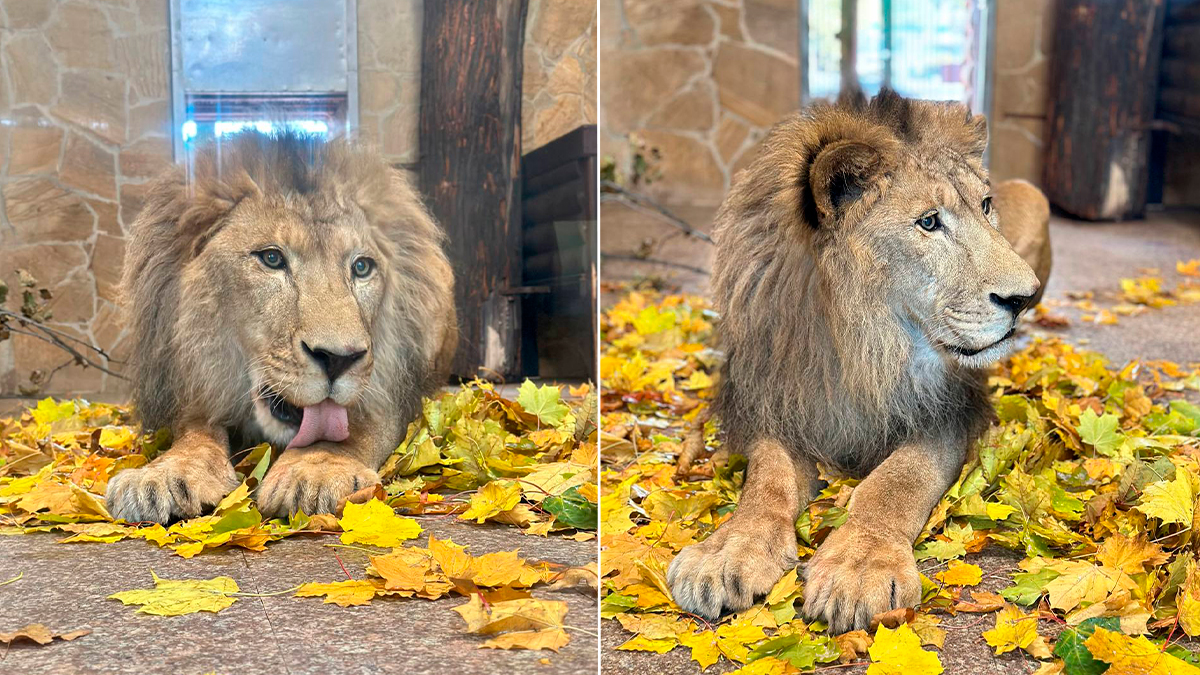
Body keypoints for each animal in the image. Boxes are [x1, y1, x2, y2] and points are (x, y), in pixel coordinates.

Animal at [105, 130, 453, 521]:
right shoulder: (197, 386)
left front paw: (316, 472)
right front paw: (162, 475)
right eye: (272, 258)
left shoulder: (393, 392)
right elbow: (195, 432)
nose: (339, 359)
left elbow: (352, 431)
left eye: (362, 267)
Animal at [672, 89, 1046, 629]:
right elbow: (766, 481)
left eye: (985, 206)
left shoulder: (950, 411)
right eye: (928, 222)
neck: (862, 346)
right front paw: (726, 553)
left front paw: (861, 564)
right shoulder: (777, 403)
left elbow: (896, 481)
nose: (1024, 298)